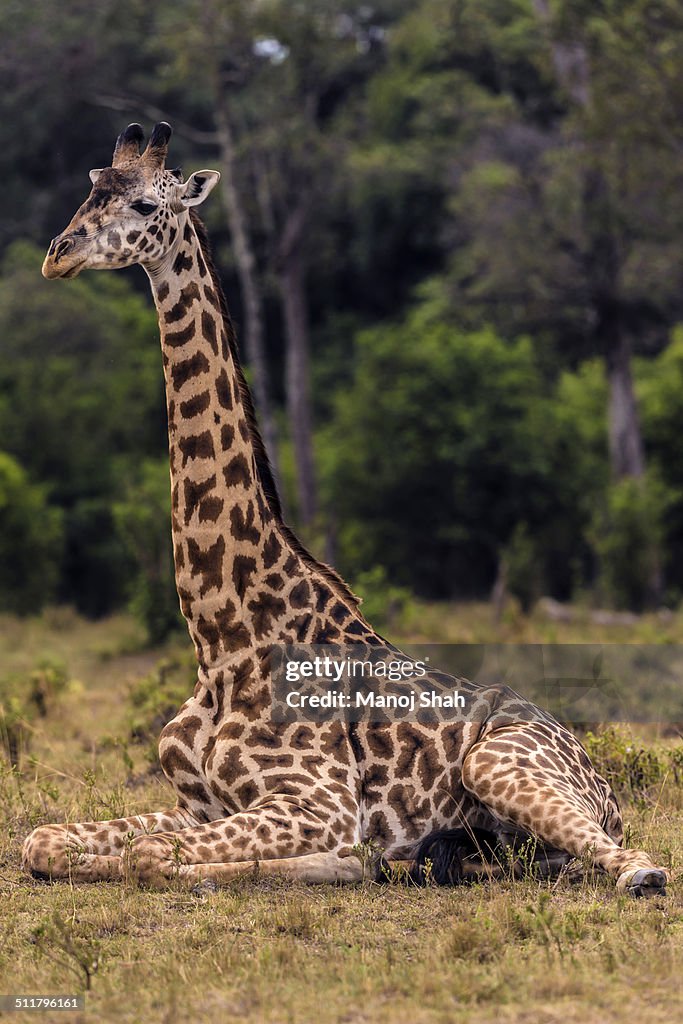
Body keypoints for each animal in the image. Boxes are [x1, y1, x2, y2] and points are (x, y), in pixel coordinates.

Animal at [22, 123, 667, 901]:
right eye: (92, 188)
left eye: (147, 204)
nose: (59, 253)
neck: (224, 640)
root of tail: (600, 777)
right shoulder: (197, 802)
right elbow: (44, 839)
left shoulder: (316, 801)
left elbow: (152, 857)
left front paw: (325, 860)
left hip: (499, 766)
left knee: (634, 864)